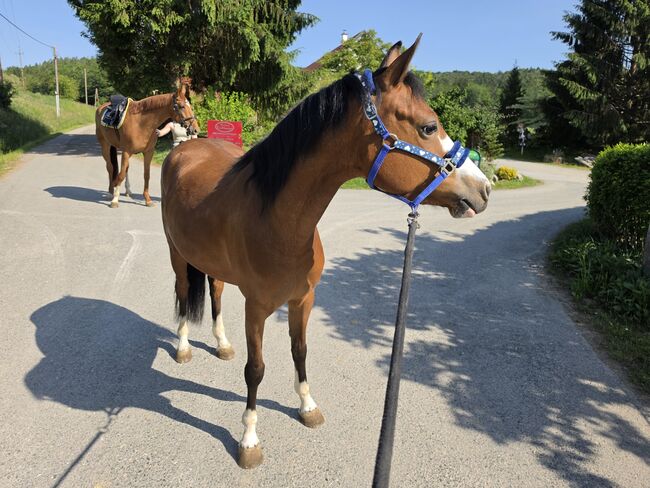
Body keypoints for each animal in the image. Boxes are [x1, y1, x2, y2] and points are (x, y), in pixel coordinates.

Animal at [160, 36, 491, 469]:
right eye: (428, 127)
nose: (483, 189)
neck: (278, 221)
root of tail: (184, 149)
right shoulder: (256, 307)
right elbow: (256, 369)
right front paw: (249, 440)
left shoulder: (304, 299)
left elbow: (300, 351)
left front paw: (307, 406)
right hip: (177, 254)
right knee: (184, 294)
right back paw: (184, 347)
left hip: (212, 264)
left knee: (214, 291)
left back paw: (222, 343)